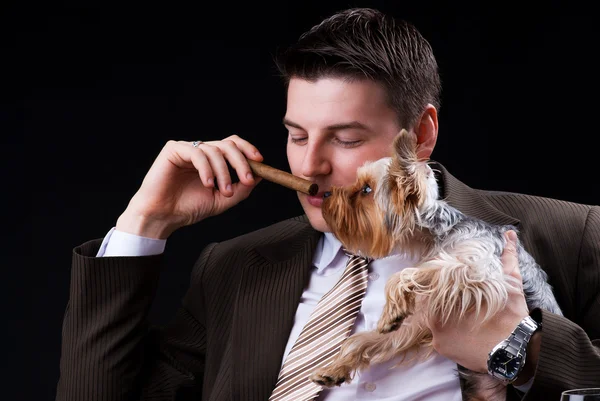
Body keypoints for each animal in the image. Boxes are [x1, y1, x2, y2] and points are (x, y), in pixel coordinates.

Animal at [310, 129, 564, 400]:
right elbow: (371, 339)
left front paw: (391, 310)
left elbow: (410, 273)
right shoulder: (421, 319)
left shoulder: (480, 270)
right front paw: (335, 368)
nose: (326, 195)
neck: (439, 233)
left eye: (366, 189)